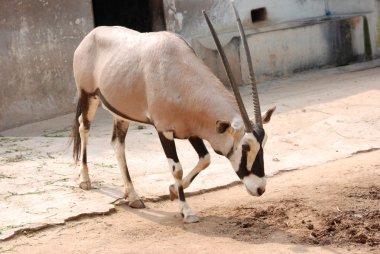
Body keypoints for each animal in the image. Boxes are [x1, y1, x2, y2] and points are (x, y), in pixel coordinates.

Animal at [70, 3, 274, 222]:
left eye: (264, 143)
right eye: (245, 147)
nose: (260, 188)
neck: (179, 74)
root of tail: (91, 35)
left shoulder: (191, 130)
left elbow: (205, 159)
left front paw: (173, 191)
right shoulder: (164, 130)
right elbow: (177, 168)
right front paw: (186, 211)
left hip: (121, 113)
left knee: (118, 143)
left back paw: (132, 195)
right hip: (88, 96)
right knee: (84, 127)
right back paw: (85, 179)